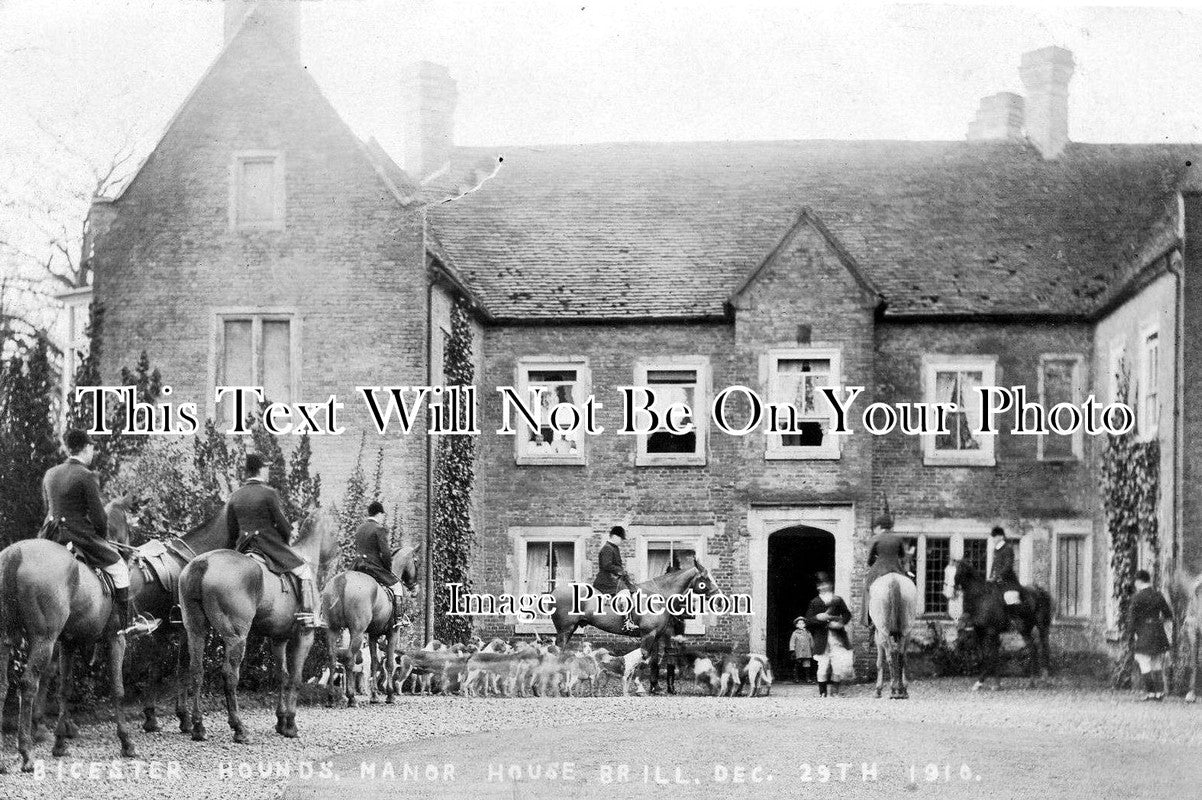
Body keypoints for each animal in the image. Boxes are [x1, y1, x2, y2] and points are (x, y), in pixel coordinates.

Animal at [0, 535, 137, 768]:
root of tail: (14, 554)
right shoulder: (116, 638)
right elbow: (118, 689)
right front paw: (126, 742)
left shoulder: (67, 644)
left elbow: (64, 690)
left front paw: (60, 744)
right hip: (44, 639)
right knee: (28, 684)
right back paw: (26, 752)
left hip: (6, 638)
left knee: (3, 685)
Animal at [176, 506, 338, 739]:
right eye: (335, 529)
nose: (335, 557)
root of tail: (203, 563)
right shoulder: (304, 637)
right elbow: (296, 678)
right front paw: (290, 724)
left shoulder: (279, 639)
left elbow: (282, 676)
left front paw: (281, 721)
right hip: (236, 637)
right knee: (229, 675)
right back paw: (238, 727)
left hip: (195, 630)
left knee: (196, 671)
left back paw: (198, 726)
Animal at [322, 542, 420, 706]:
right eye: (416, 561)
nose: (415, 589)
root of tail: (342, 580)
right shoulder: (393, 633)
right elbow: (389, 664)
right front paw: (390, 695)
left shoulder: (373, 635)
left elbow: (374, 663)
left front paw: (374, 696)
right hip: (357, 632)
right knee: (349, 658)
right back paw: (351, 698)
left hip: (332, 629)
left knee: (332, 658)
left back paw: (330, 697)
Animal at [550, 559, 721, 691]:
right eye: (705, 580)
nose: (719, 599)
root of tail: (554, 591)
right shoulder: (648, 635)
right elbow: (643, 658)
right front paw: (640, 686)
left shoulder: (655, 636)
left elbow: (653, 660)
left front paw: (655, 686)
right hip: (565, 630)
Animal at [942, 559, 1048, 687]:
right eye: (946, 572)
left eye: (957, 573)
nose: (947, 593)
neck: (980, 598)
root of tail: (1039, 591)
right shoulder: (981, 632)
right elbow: (985, 656)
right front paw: (993, 682)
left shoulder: (991, 632)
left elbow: (991, 656)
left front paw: (984, 682)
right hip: (1025, 629)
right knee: (1032, 648)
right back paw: (1031, 681)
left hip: (1040, 627)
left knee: (1042, 647)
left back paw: (1042, 678)